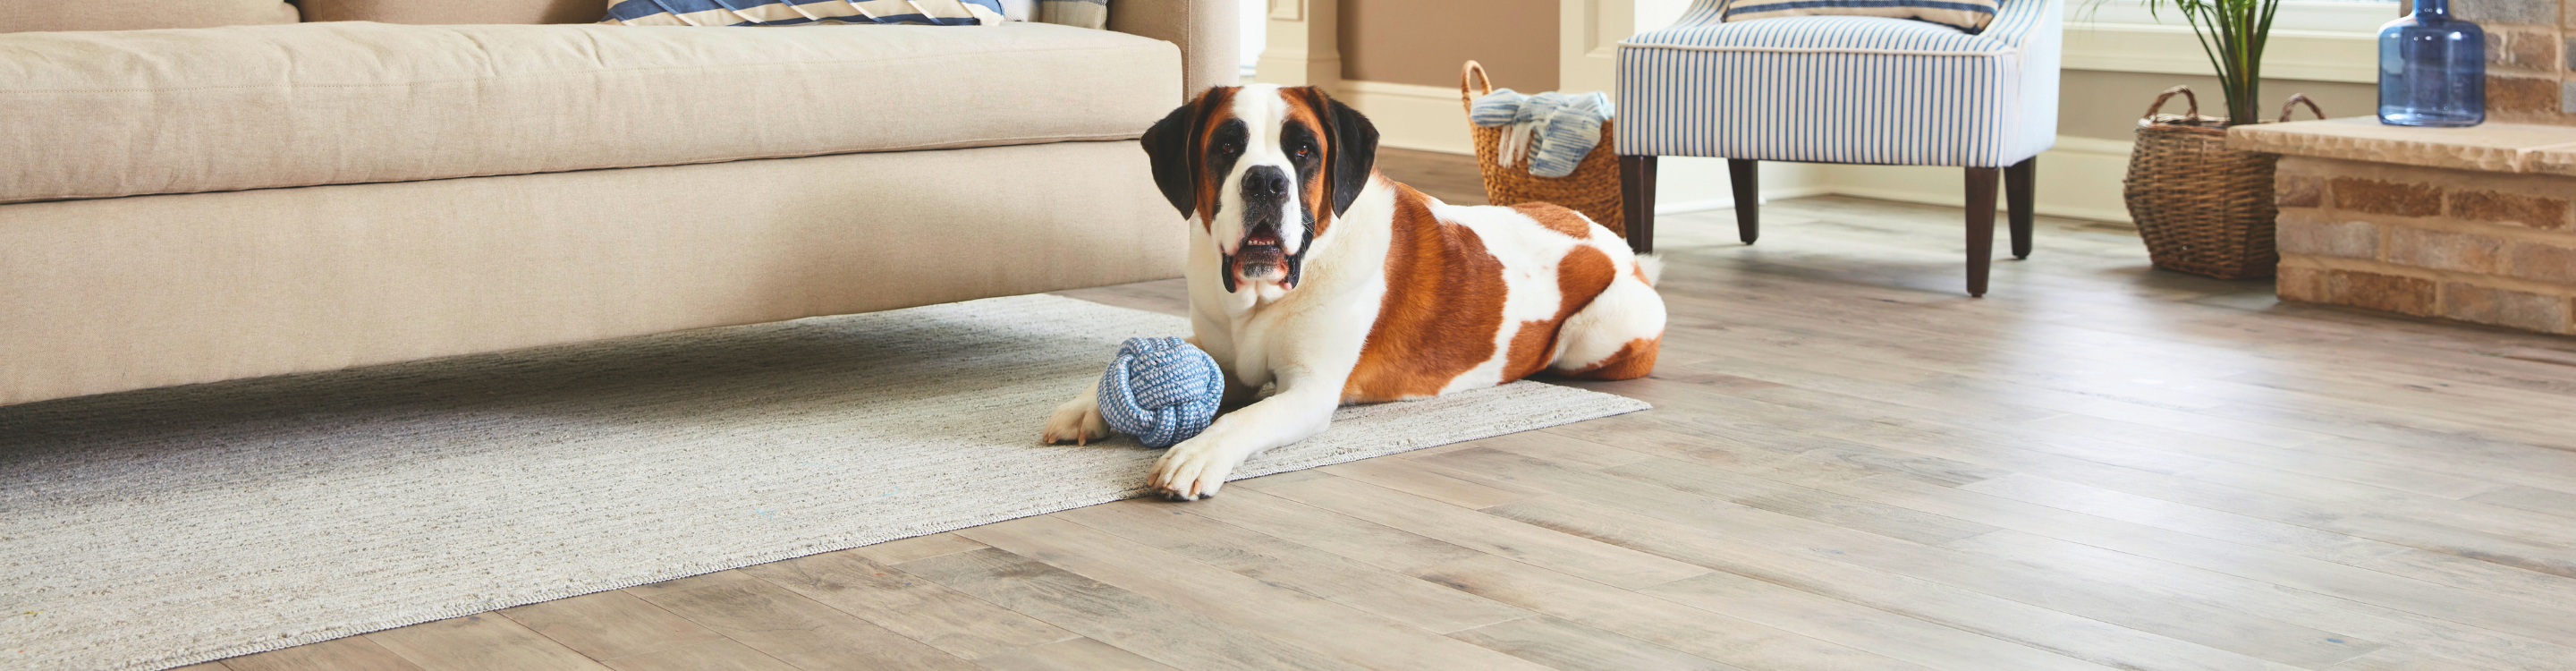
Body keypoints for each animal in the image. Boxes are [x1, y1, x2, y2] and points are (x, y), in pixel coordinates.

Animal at [1046, 85, 1669, 497]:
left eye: (1303, 151)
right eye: (1226, 146)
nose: (1266, 180)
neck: (1262, 298)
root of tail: (1614, 242)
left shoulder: (1309, 391)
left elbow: (1243, 420)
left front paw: (1197, 454)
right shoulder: (1221, 352)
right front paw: (1086, 406)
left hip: (1599, 331)